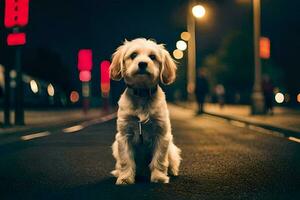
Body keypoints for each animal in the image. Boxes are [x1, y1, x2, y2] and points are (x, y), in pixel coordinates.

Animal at [109, 37, 182, 184]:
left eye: (152, 57)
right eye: (133, 55)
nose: (142, 63)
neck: (142, 94)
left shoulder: (162, 135)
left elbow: (159, 160)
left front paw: (159, 177)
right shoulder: (123, 136)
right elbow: (126, 160)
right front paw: (125, 178)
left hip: (171, 148)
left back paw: (172, 171)